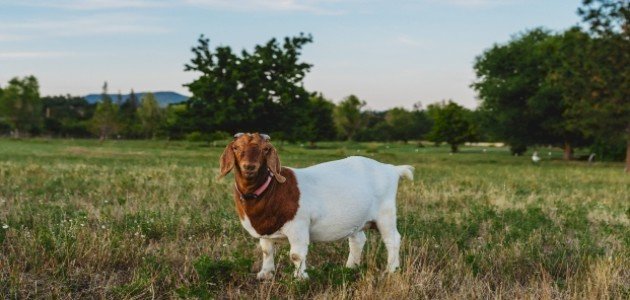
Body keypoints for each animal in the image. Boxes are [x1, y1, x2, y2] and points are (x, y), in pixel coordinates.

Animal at [220, 132, 418, 280]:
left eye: (266, 149)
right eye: (236, 148)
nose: (249, 166)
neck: (273, 189)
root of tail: (391, 169)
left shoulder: (298, 226)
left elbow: (296, 254)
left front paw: (300, 279)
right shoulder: (265, 229)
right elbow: (266, 250)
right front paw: (265, 275)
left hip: (386, 213)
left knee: (392, 239)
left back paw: (391, 270)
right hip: (357, 218)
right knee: (357, 240)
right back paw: (350, 268)